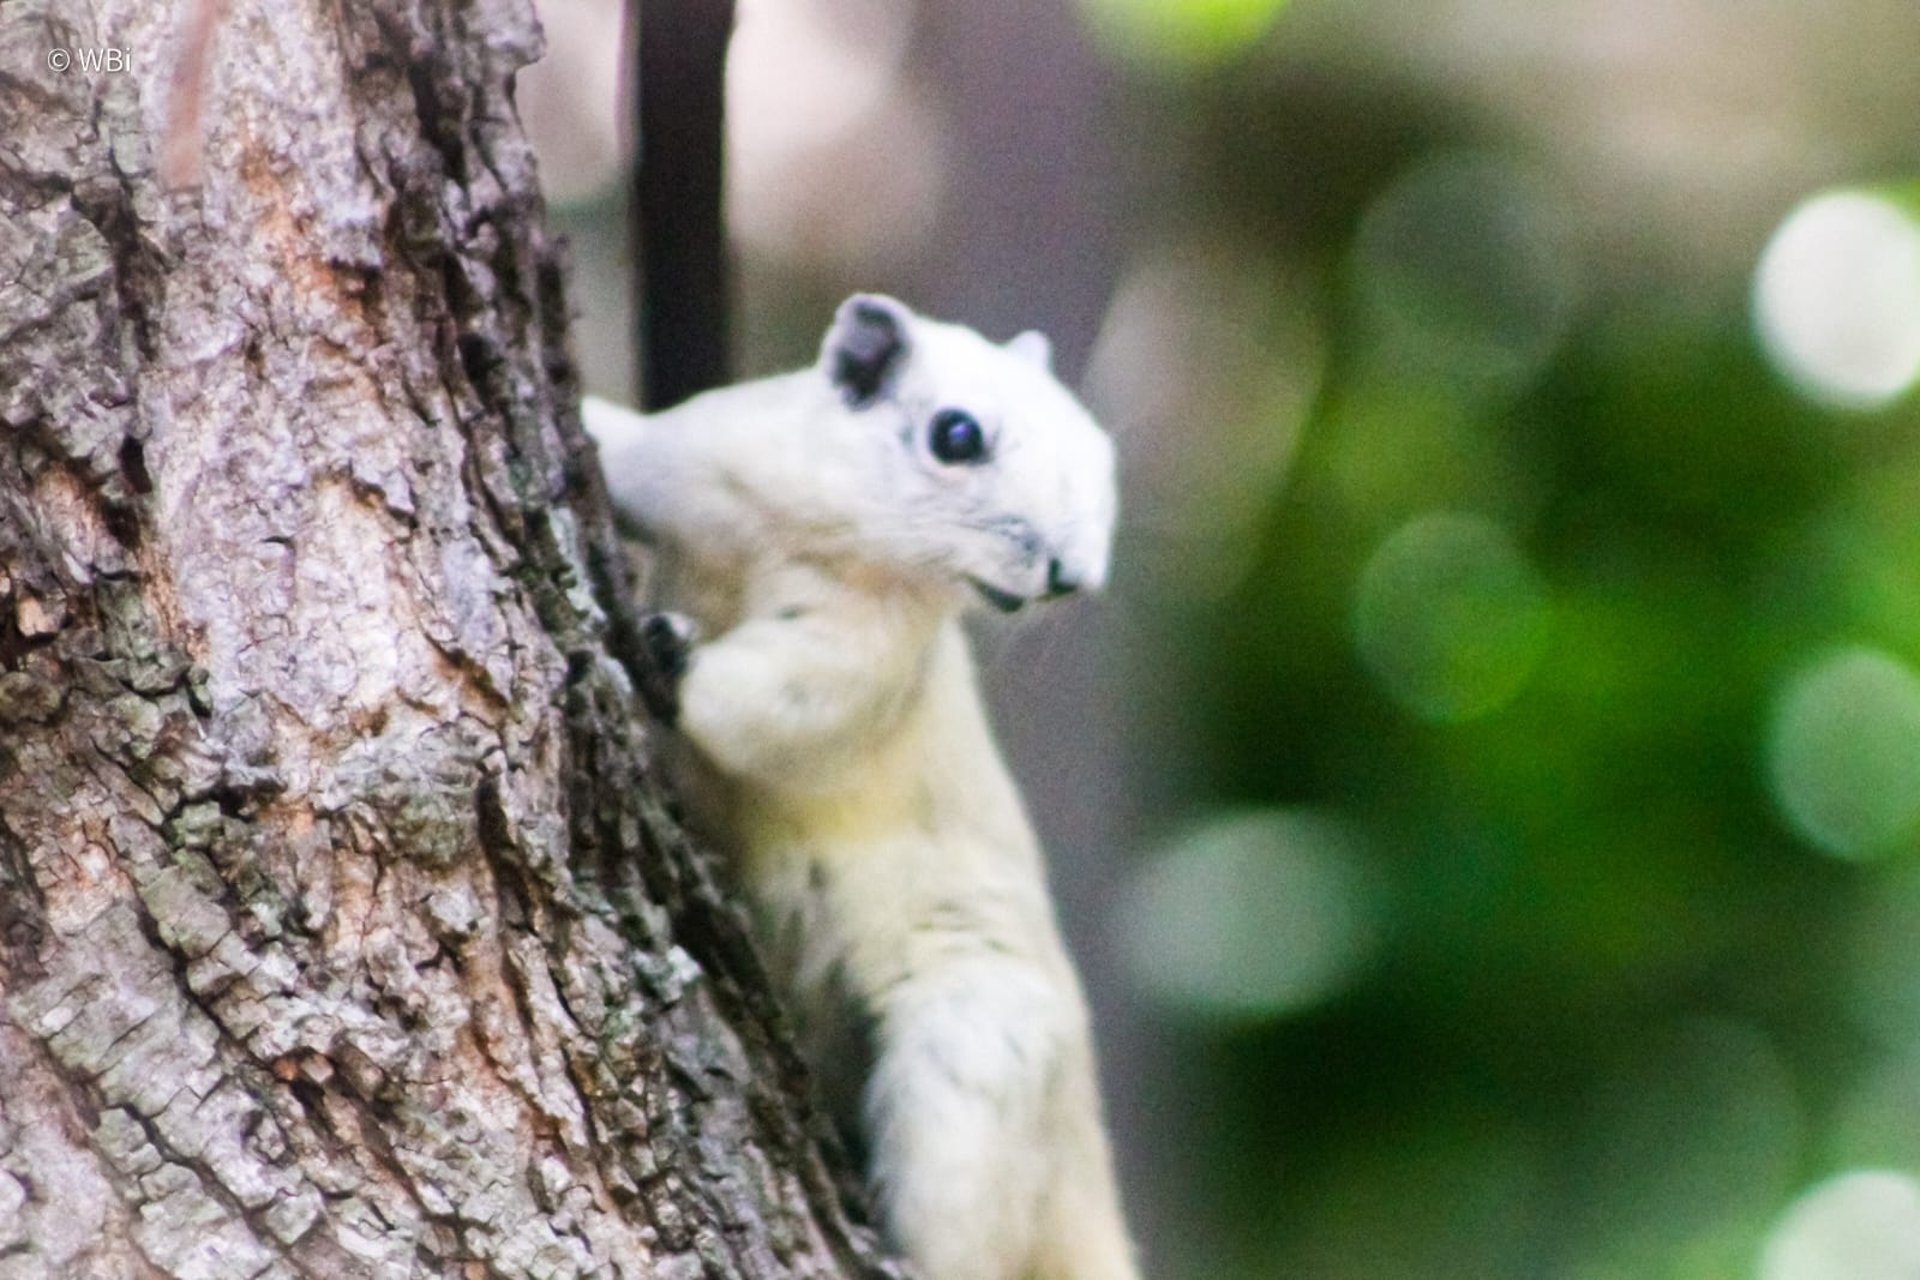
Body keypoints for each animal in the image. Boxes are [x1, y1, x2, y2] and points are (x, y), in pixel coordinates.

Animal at [583, 294, 1138, 1280]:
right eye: (956, 435)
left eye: (1101, 454)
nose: (1073, 575)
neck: (830, 533)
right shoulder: (692, 461)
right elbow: (617, 445)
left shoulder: (865, 655)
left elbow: (781, 708)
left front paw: (666, 654)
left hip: (972, 1060)